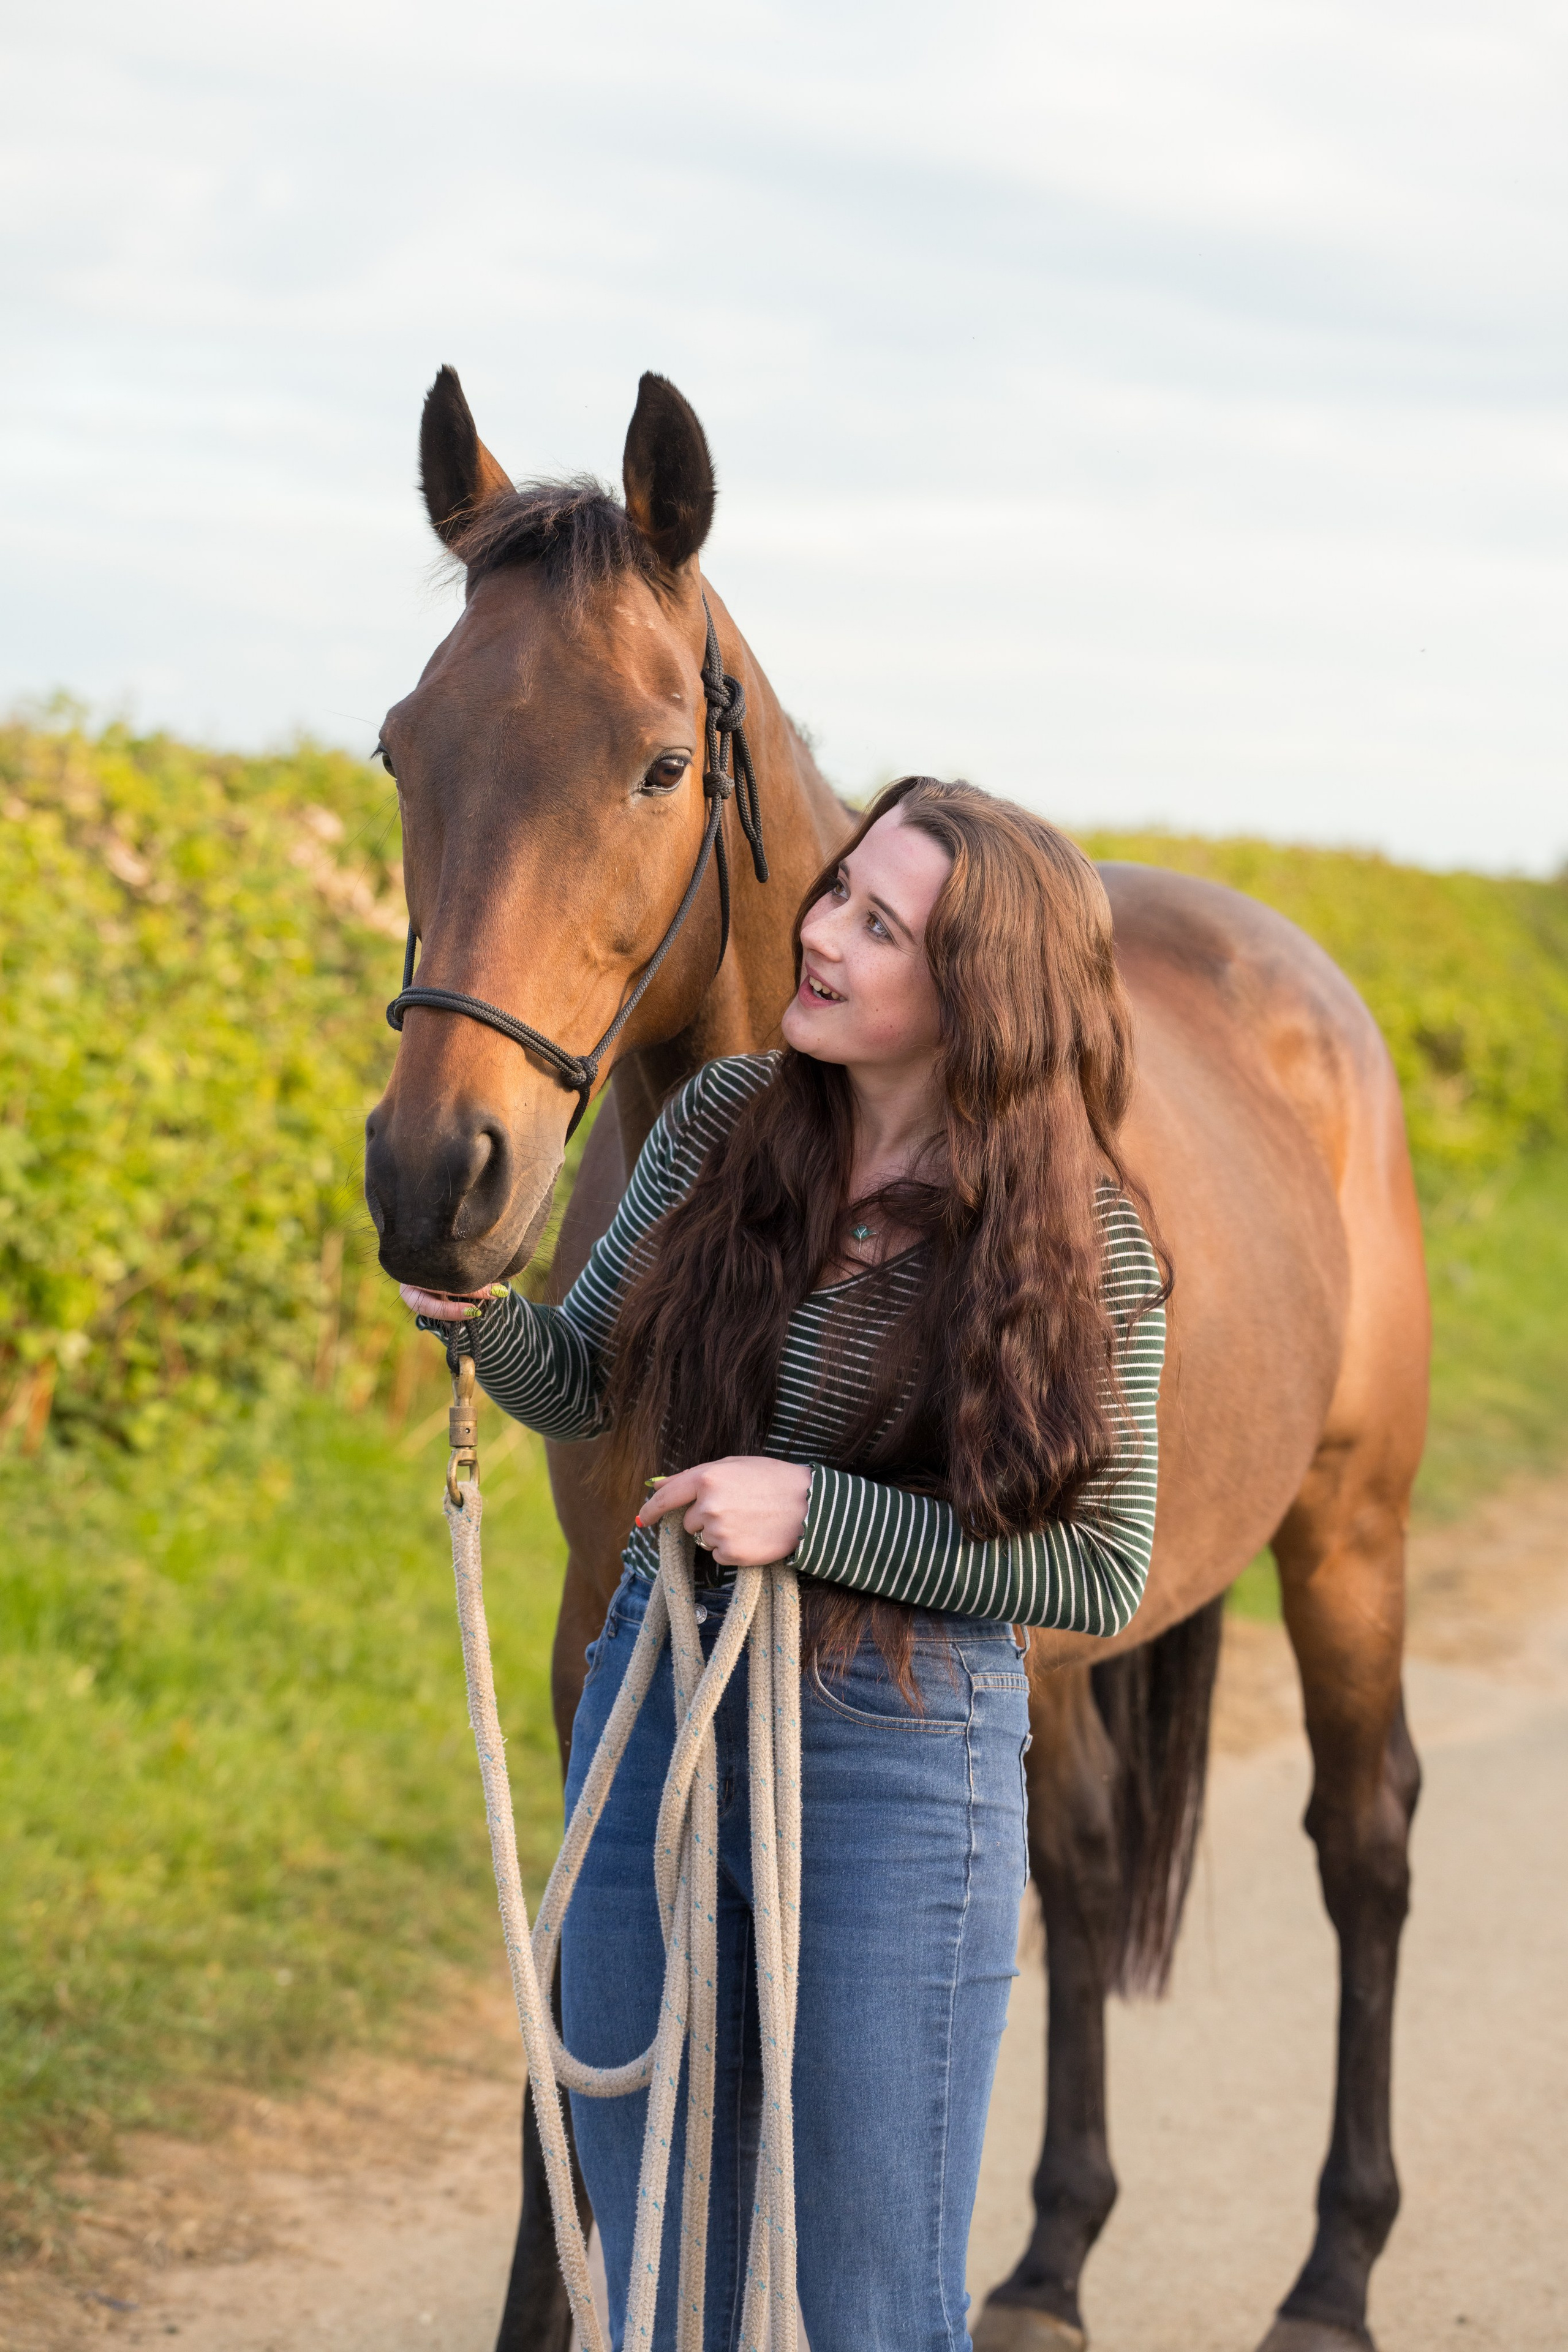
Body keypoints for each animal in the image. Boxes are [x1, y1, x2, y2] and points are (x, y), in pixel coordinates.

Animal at [365, 367, 1428, 2352]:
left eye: (657, 762)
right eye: (403, 748)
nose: (430, 1177)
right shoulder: (603, 1614)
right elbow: (590, 1959)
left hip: (1346, 1531)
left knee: (1363, 1839)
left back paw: (1332, 2268)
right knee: (1074, 1862)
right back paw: (1049, 2254)